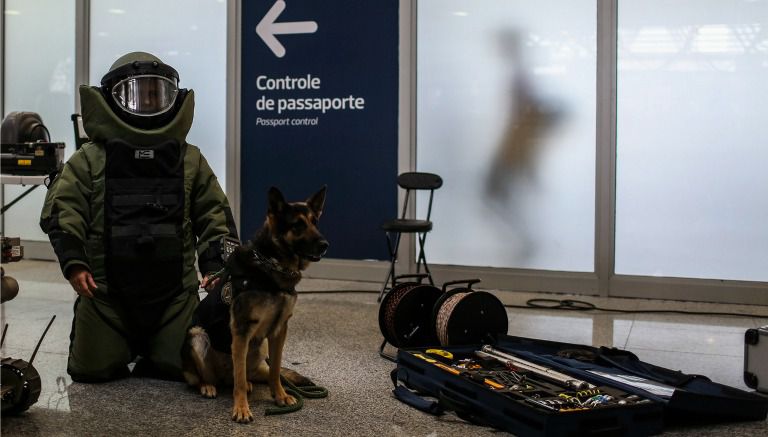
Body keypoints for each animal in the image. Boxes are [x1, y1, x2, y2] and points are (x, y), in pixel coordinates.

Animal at [186, 186, 330, 420]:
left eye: (314, 222)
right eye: (297, 225)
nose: (325, 245)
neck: (272, 266)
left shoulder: (279, 331)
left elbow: (276, 370)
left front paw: (280, 395)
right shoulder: (242, 330)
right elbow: (240, 378)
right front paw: (241, 408)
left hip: (259, 346)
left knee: (249, 375)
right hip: (197, 336)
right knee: (211, 377)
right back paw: (208, 385)